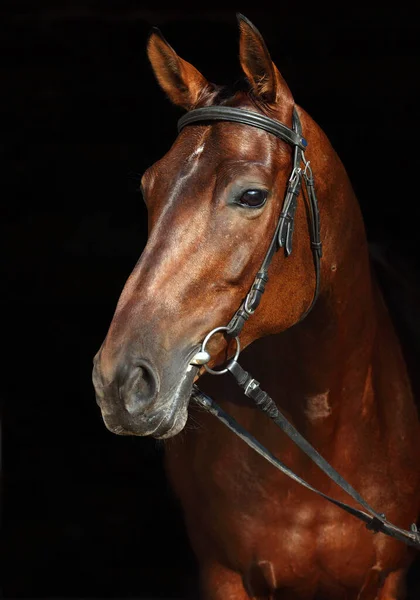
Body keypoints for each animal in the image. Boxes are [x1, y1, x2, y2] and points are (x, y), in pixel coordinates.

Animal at [92, 14, 420, 600]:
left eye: (251, 195)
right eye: (149, 189)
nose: (118, 381)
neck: (323, 425)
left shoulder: (390, 579)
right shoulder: (224, 575)